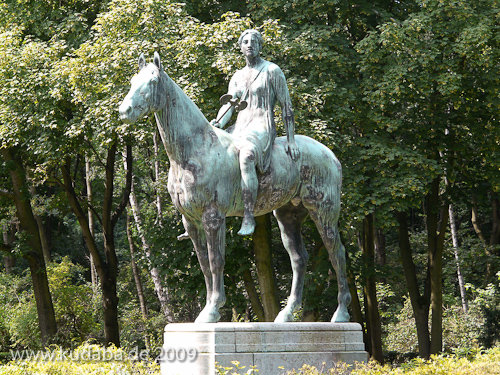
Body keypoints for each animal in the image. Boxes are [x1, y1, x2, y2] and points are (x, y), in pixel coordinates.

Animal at [119, 52, 352, 324]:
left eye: (153, 81)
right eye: (132, 81)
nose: (124, 111)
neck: (195, 150)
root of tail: (331, 156)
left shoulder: (212, 217)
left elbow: (216, 261)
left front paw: (213, 309)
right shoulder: (191, 221)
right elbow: (203, 264)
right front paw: (207, 309)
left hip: (324, 213)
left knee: (337, 254)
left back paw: (341, 313)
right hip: (288, 216)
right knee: (299, 259)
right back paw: (287, 313)